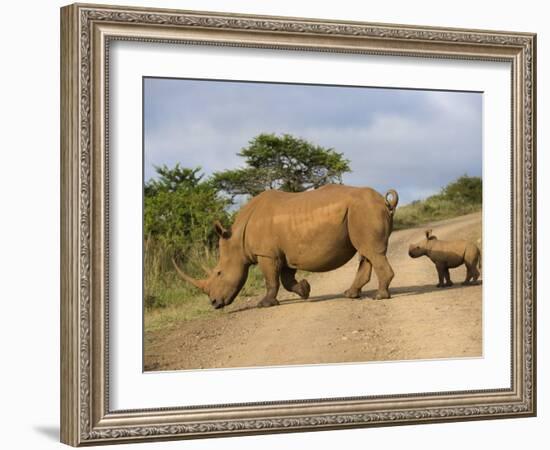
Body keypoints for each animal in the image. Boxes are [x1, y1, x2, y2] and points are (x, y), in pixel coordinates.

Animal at [175, 185, 398, 308]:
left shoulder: (266, 254)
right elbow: (287, 280)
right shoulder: (284, 254)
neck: (237, 240)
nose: (214, 304)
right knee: (366, 252)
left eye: (219, 273)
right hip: (361, 211)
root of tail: (385, 201)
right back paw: (351, 295)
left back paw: (379, 297)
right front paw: (305, 290)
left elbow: (271, 281)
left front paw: (264, 305)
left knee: (372, 252)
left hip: (364, 209)